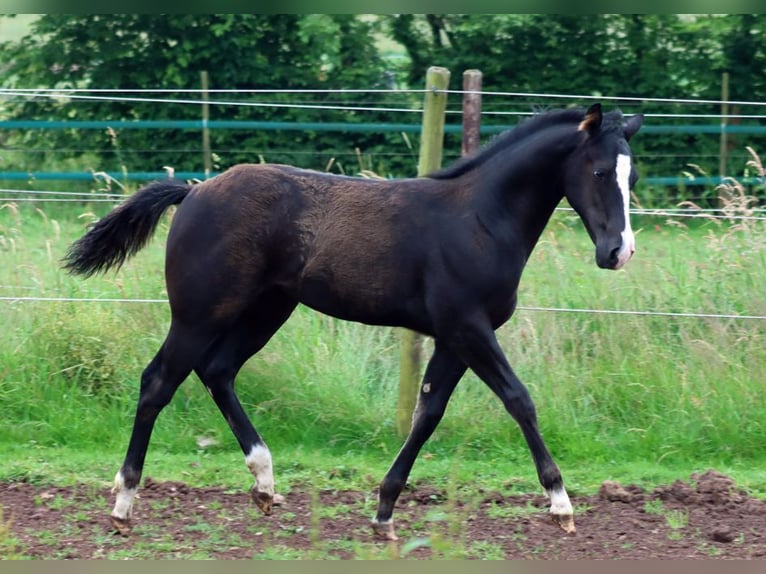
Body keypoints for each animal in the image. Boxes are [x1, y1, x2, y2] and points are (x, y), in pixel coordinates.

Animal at [64, 106, 640, 544]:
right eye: (597, 172)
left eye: (631, 178)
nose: (619, 252)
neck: (480, 218)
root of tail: (195, 190)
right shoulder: (468, 327)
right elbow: (519, 399)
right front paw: (561, 504)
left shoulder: (453, 337)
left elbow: (428, 413)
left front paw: (384, 513)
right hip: (200, 313)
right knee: (158, 382)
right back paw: (124, 504)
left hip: (268, 309)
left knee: (218, 371)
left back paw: (264, 482)